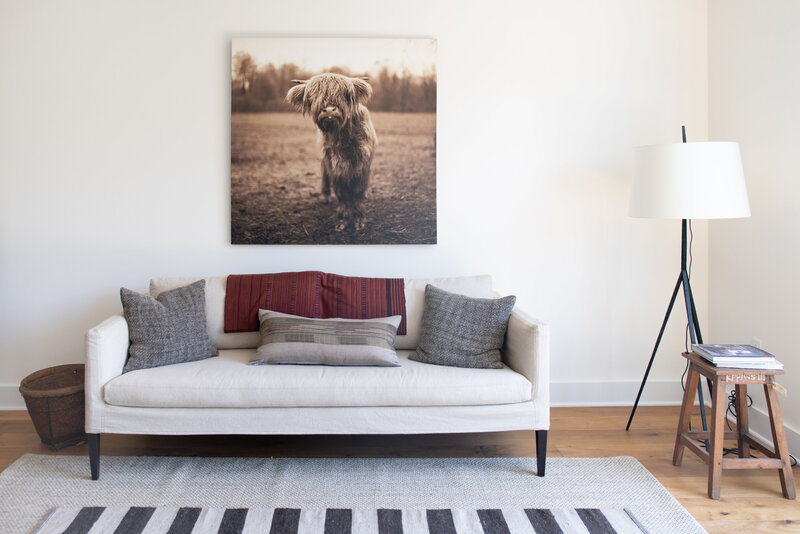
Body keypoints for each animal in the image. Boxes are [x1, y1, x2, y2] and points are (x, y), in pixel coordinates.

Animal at [286, 75, 376, 232]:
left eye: (344, 94)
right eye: (313, 96)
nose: (328, 110)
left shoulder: (362, 164)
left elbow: (358, 192)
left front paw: (359, 220)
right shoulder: (333, 165)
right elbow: (341, 194)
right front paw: (342, 220)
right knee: (324, 176)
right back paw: (326, 196)